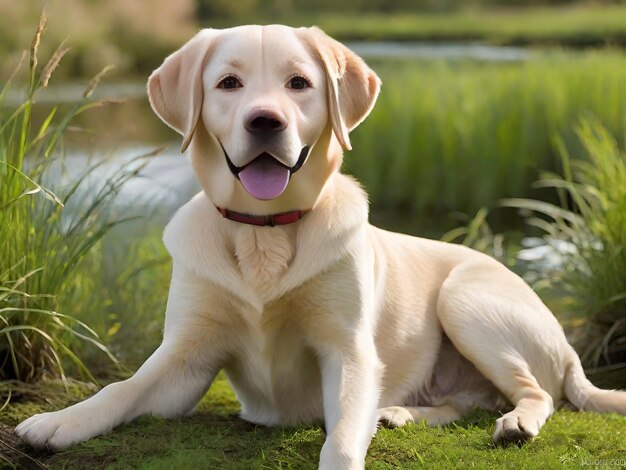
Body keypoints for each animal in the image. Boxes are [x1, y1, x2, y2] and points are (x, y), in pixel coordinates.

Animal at [15, 26, 624, 470]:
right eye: (229, 83)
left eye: (299, 83)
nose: (266, 121)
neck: (264, 229)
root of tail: (569, 351)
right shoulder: (183, 359)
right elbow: (123, 387)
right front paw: (59, 422)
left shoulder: (348, 350)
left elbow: (344, 433)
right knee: (464, 401)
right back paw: (400, 413)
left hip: (465, 300)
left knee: (538, 394)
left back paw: (515, 423)